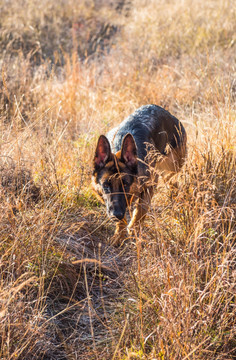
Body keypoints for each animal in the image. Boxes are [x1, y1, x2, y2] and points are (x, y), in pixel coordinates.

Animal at [92, 105, 186, 245]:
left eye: (125, 185)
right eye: (106, 186)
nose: (116, 214)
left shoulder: (150, 184)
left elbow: (141, 209)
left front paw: (133, 228)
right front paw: (119, 233)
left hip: (170, 171)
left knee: (174, 184)